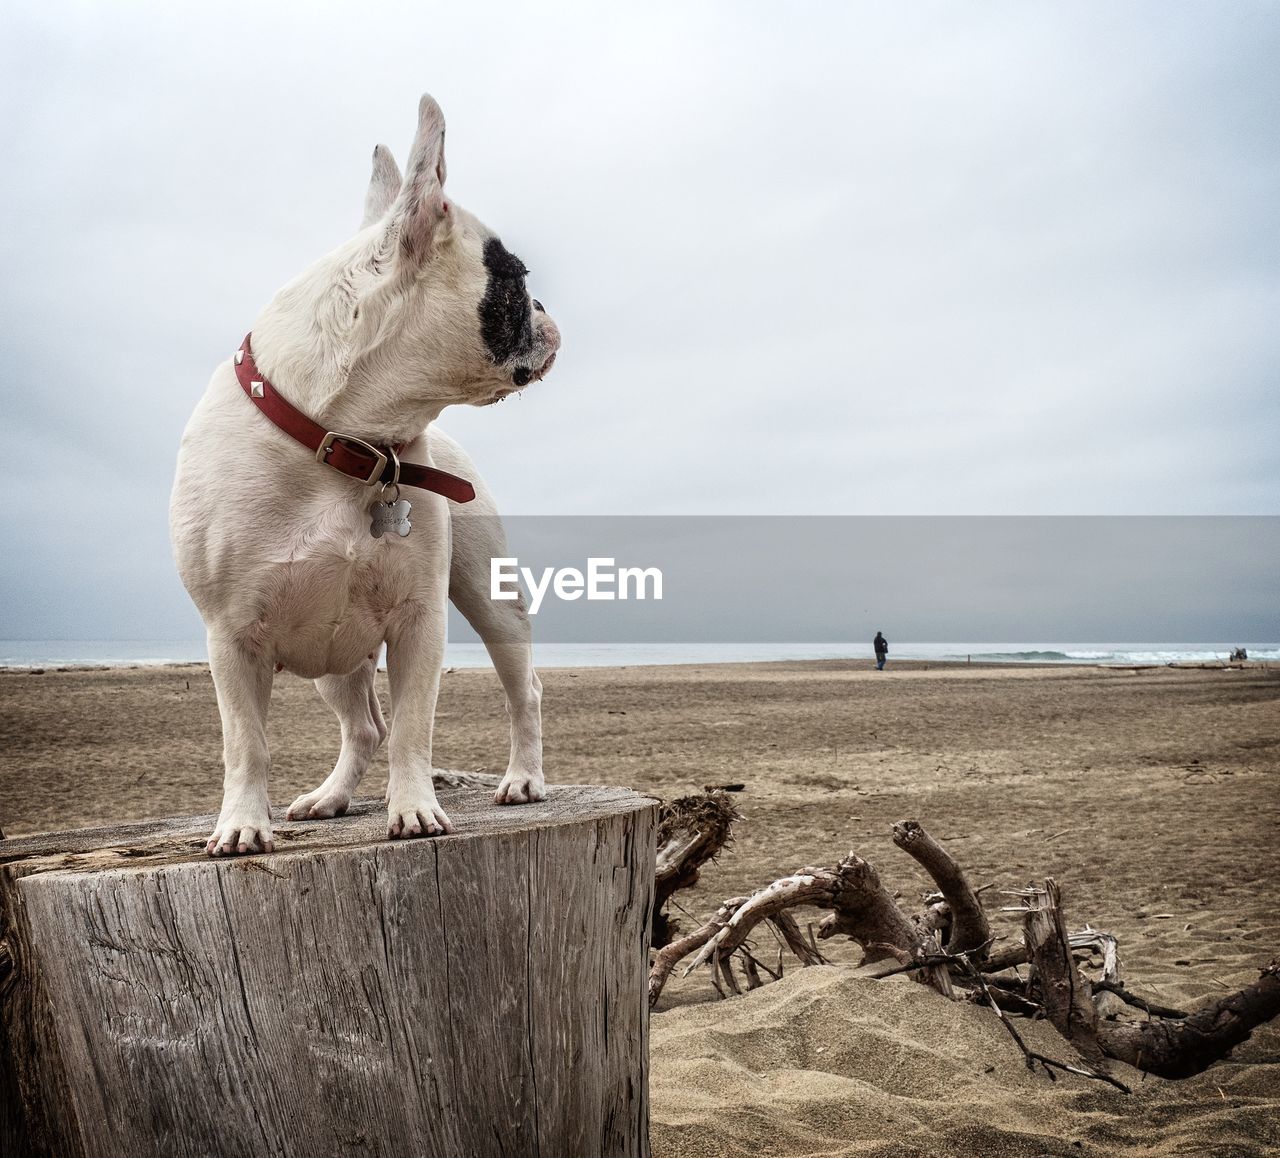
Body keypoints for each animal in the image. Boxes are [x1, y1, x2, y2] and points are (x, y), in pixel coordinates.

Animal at [167, 94, 558, 854]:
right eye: (517, 277)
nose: (548, 311)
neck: (349, 438)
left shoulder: (418, 620)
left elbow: (414, 727)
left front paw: (414, 810)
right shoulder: (231, 634)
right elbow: (245, 742)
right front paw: (241, 823)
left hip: (487, 598)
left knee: (518, 689)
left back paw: (523, 780)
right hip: (335, 659)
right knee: (362, 726)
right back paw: (331, 798)